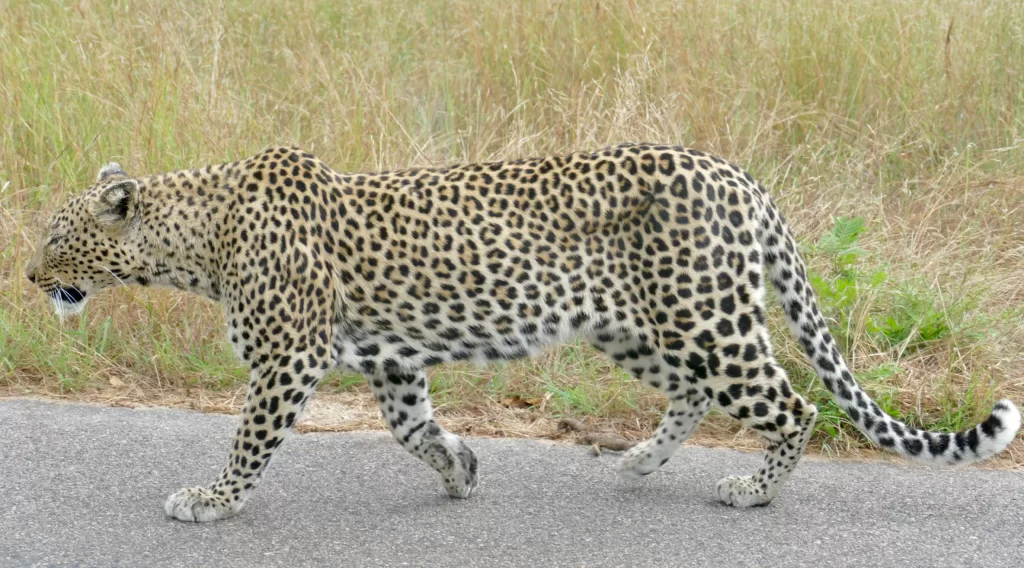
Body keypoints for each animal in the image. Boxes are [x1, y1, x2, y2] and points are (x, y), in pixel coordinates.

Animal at [24, 143, 1015, 523]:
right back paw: (638, 462)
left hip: (707, 319)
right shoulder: (392, 359)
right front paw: (462, 469)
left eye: (53, 236)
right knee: (698, 393)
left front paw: (212, 500)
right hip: (638, 327)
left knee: (796, 405)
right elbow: (412, 428)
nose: (30, 280)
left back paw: (752, 490)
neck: (194, 243)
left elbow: (247, 441)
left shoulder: (288, 358)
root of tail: (737, 173)